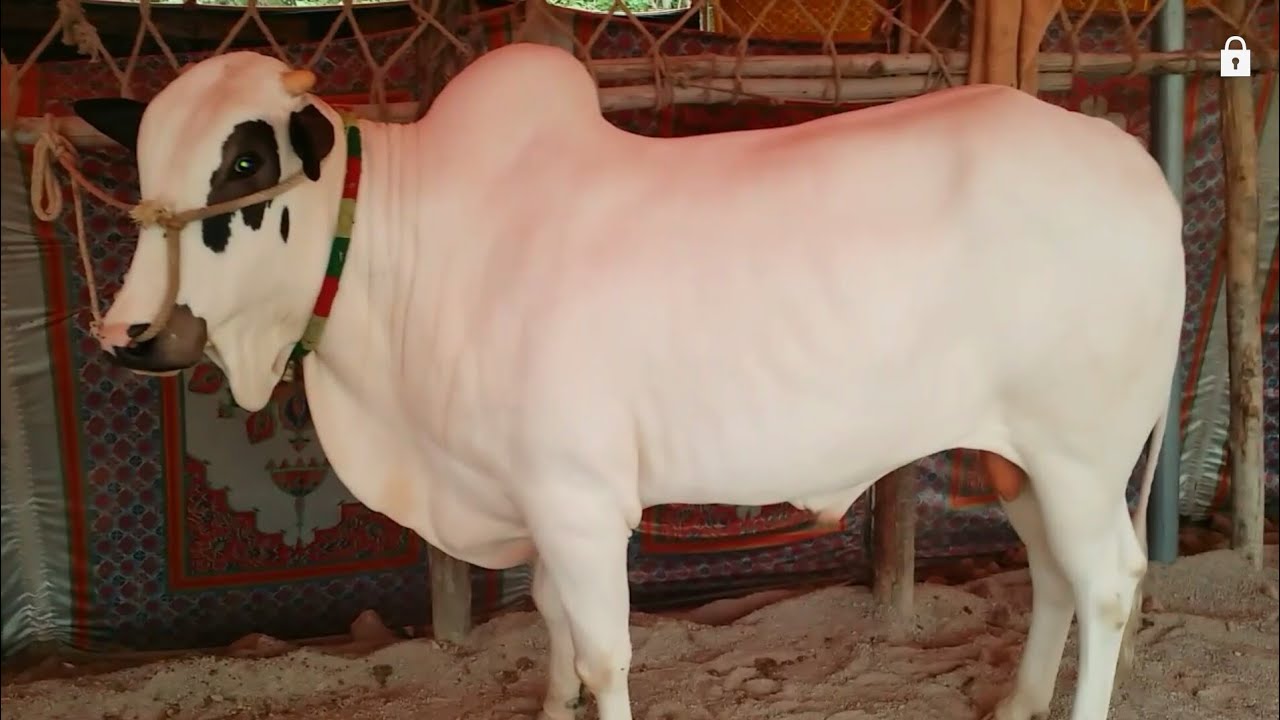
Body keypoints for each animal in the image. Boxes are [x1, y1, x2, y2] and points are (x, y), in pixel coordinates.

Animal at [72, 43, 1185, 720]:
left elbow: (604, 652)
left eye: (243, 166)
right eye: (140, 170)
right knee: (1054, 576)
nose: (131, 333)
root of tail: (1130, 161)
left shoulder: (577, 500)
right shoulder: (529, 499)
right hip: (1016, 455)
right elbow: (553, 625)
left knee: (1106, 583)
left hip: (1081, 454)